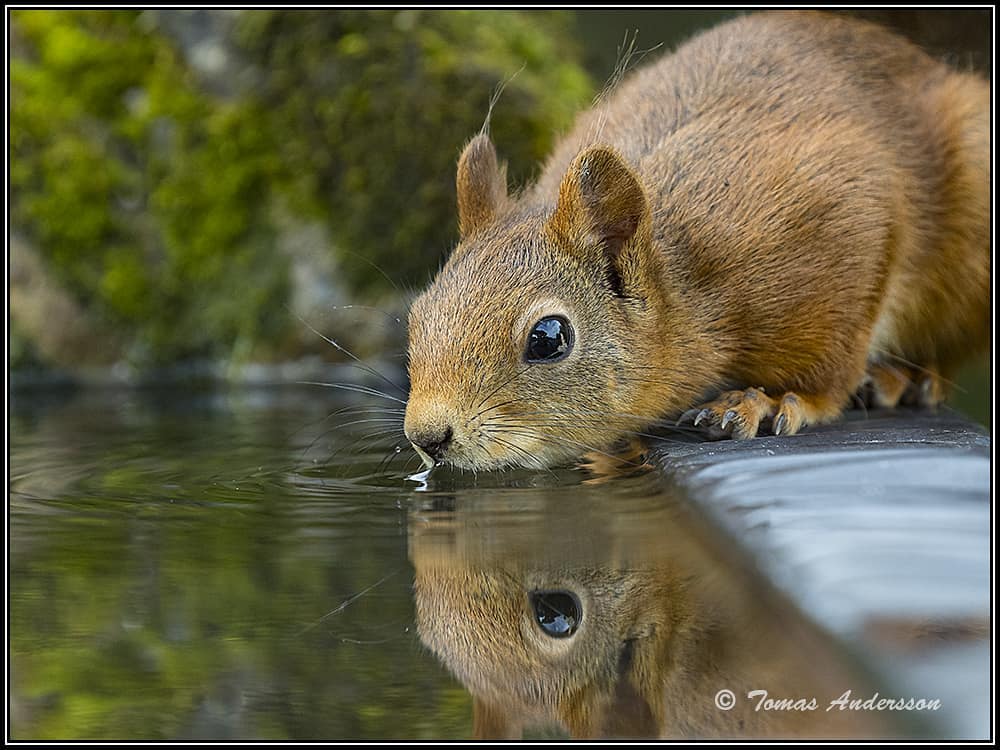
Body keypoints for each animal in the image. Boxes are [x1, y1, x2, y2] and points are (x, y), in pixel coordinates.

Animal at [400, 10, 992, 470]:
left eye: (549, 338)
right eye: (417, 315)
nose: (427, 438)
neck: (685, 277)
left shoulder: (842, 222)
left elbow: (829, 367)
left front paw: (772, 401)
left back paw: (903, 376)